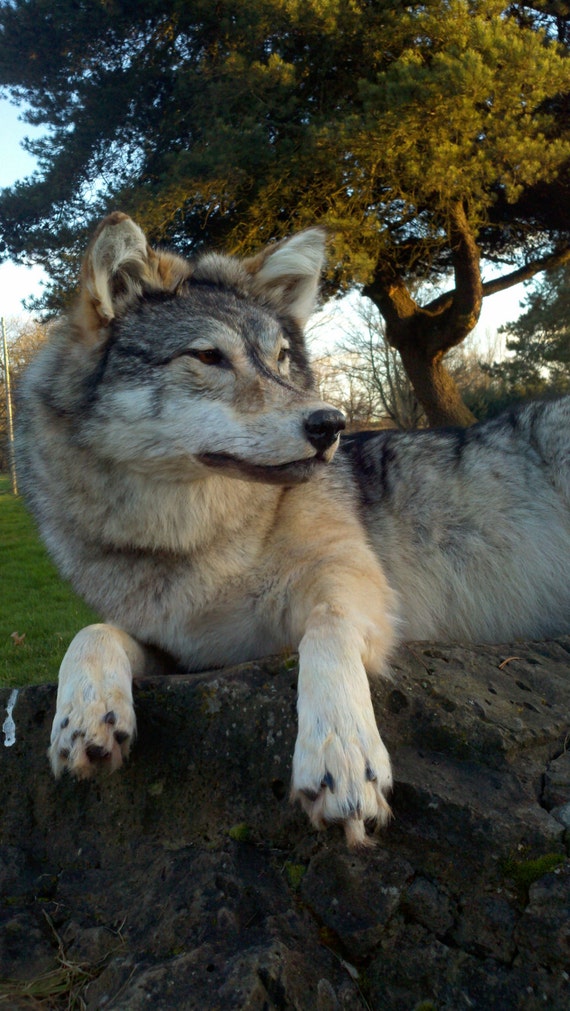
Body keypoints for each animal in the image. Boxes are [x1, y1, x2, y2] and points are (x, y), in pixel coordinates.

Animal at [16, 211, 570, 845]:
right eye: (208, 356)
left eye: (280, 359)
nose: (332, 423)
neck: (193, 538)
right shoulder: (191, 653)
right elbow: (91, 631)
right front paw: (81, 718)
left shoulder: (353, 591)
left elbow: (325, 635)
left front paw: (341, 758)